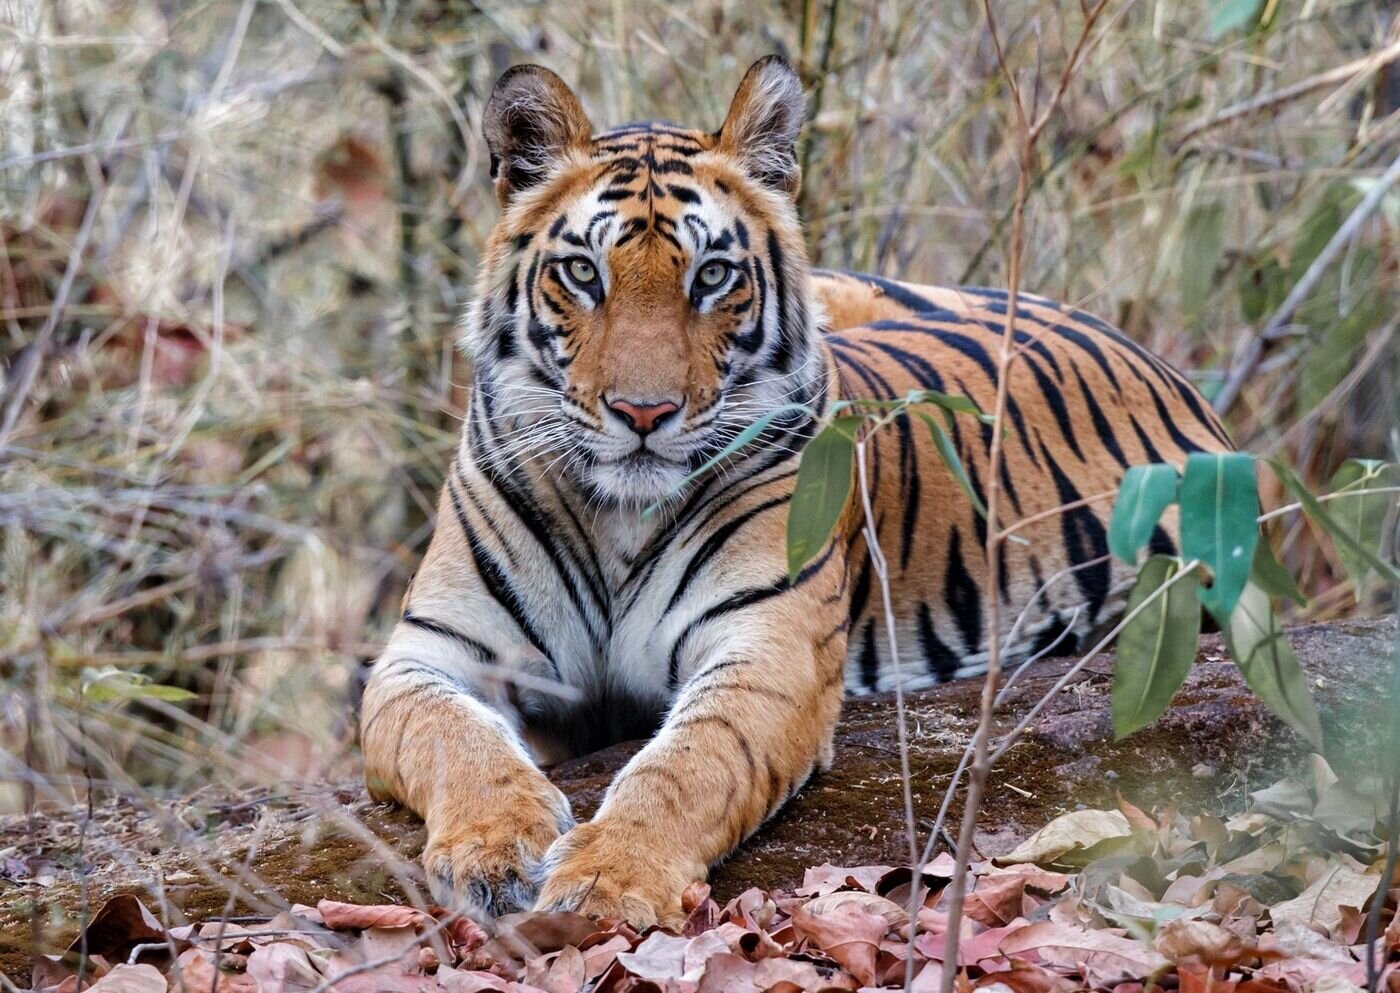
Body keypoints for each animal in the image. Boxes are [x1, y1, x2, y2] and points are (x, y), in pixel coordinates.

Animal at [358, 56, 1226, 929]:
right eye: (582, 273)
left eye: (711, 276)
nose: (644, 413)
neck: (618, 521)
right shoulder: (430, 650)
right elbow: (455, 738)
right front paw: (493, 848)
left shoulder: (768, 649)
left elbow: (687, 764)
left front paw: (608, 880)